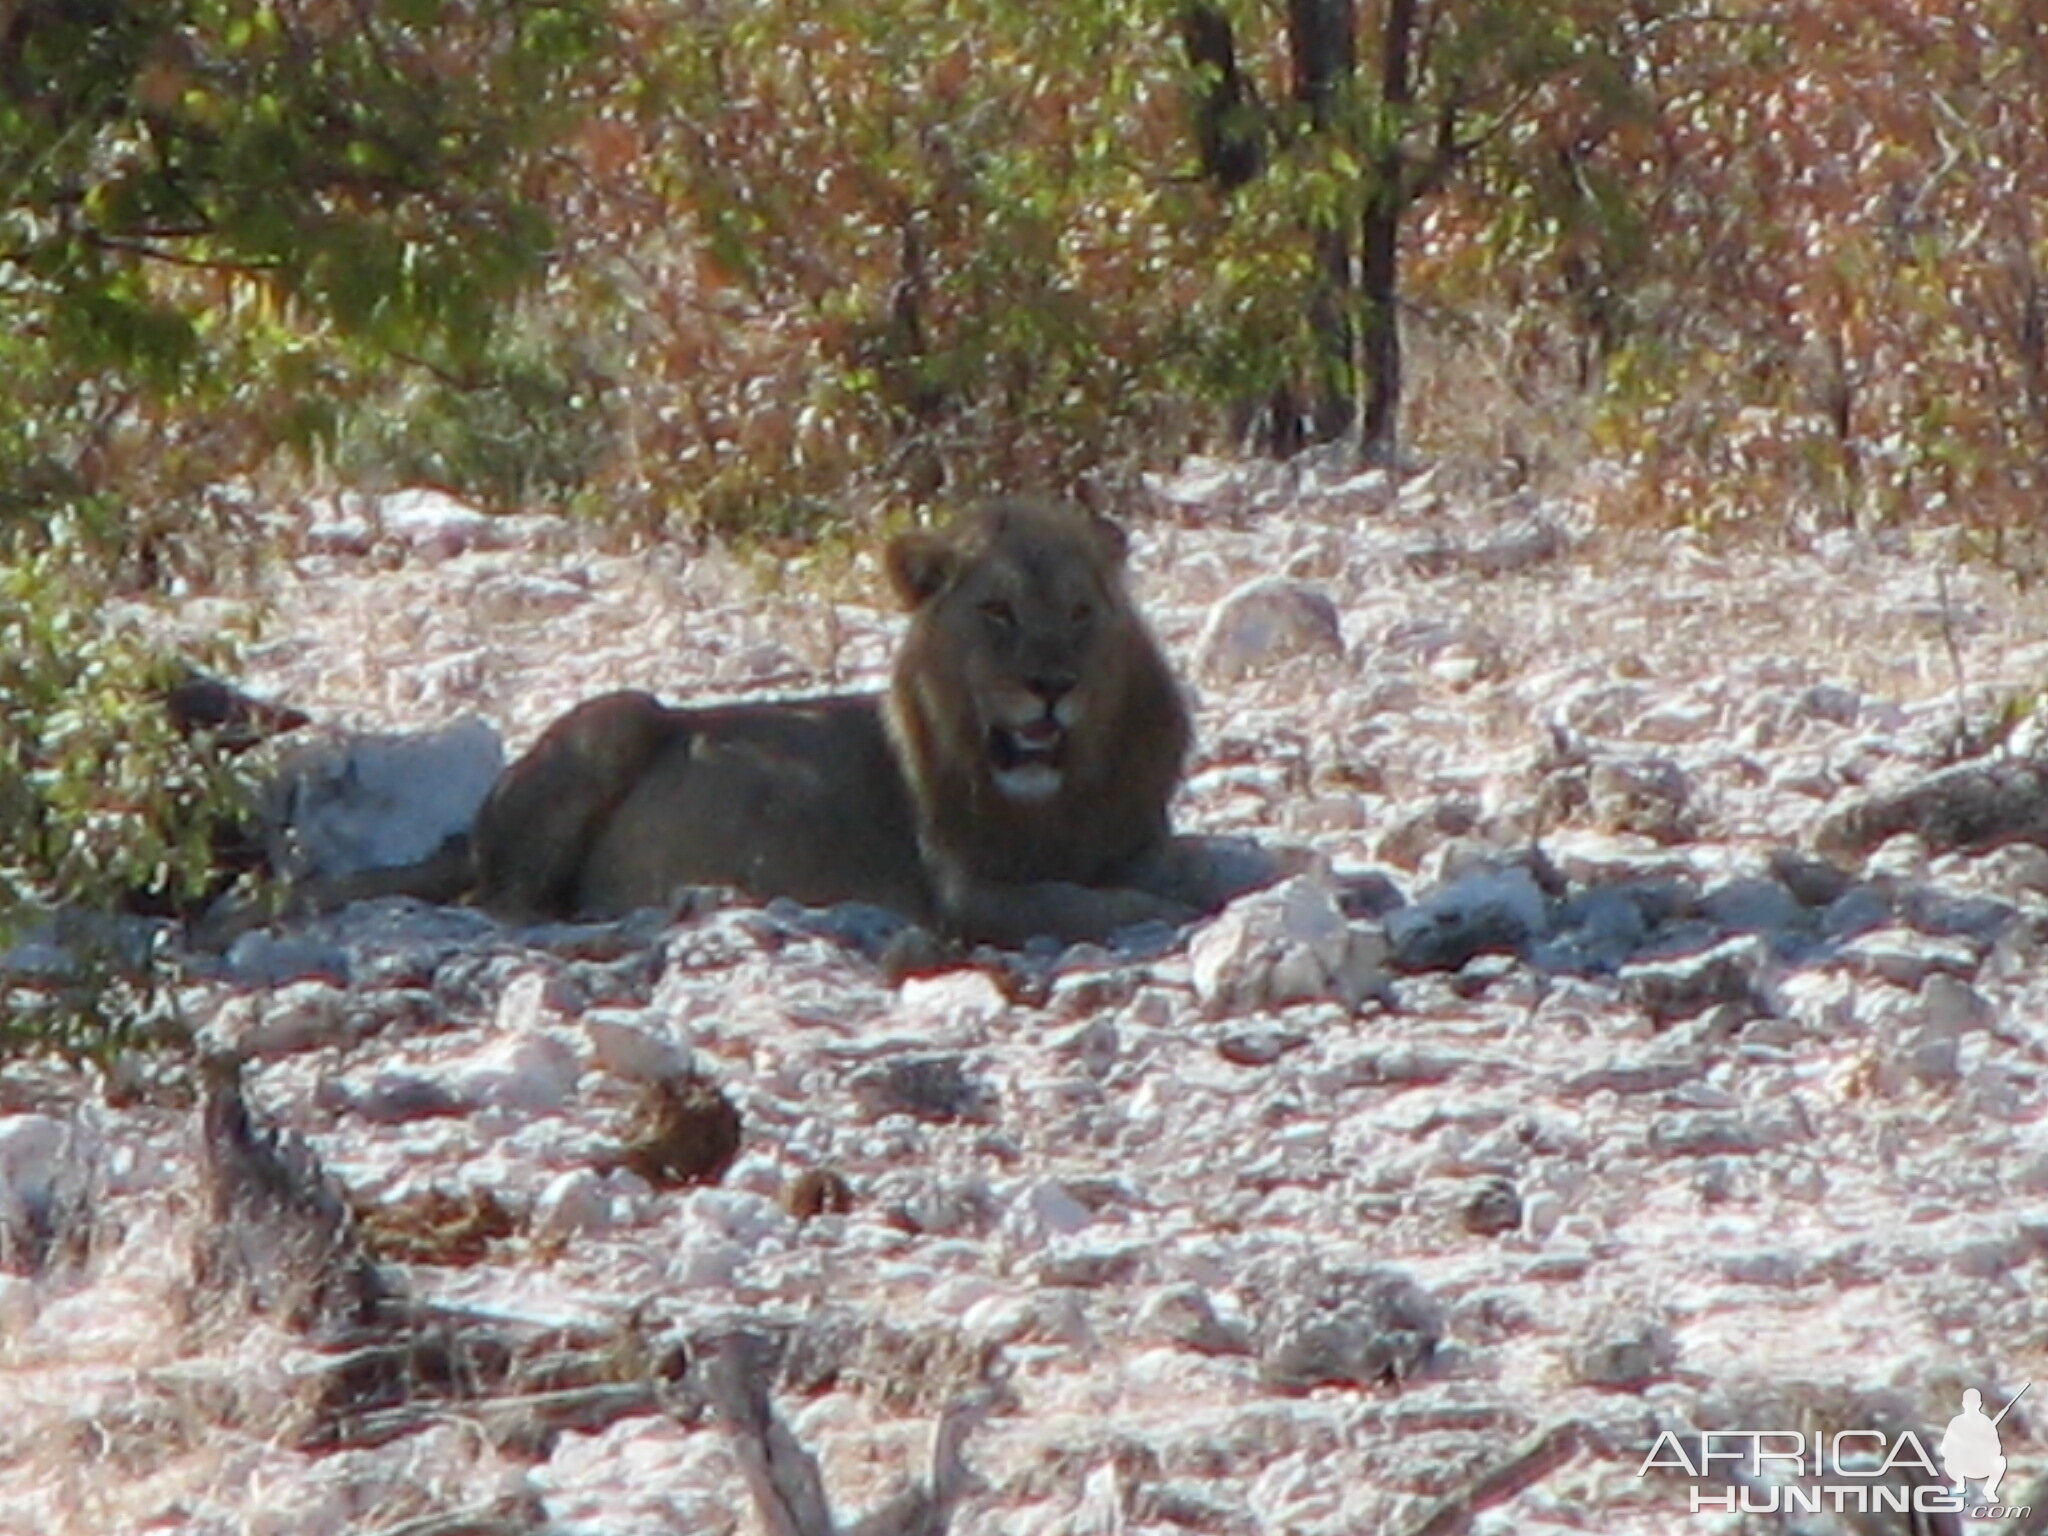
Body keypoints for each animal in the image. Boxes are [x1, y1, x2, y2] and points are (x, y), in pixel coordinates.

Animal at [473, 499, 1269, 946]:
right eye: (998, 611)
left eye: (1079, 613)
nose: (1051, 687)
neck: (1052, 800)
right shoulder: (968, 896)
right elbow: (1083, 902)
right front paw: (1173, 913)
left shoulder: (1136, 840)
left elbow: (1203, 864)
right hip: (621, 715)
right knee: (499, 899)